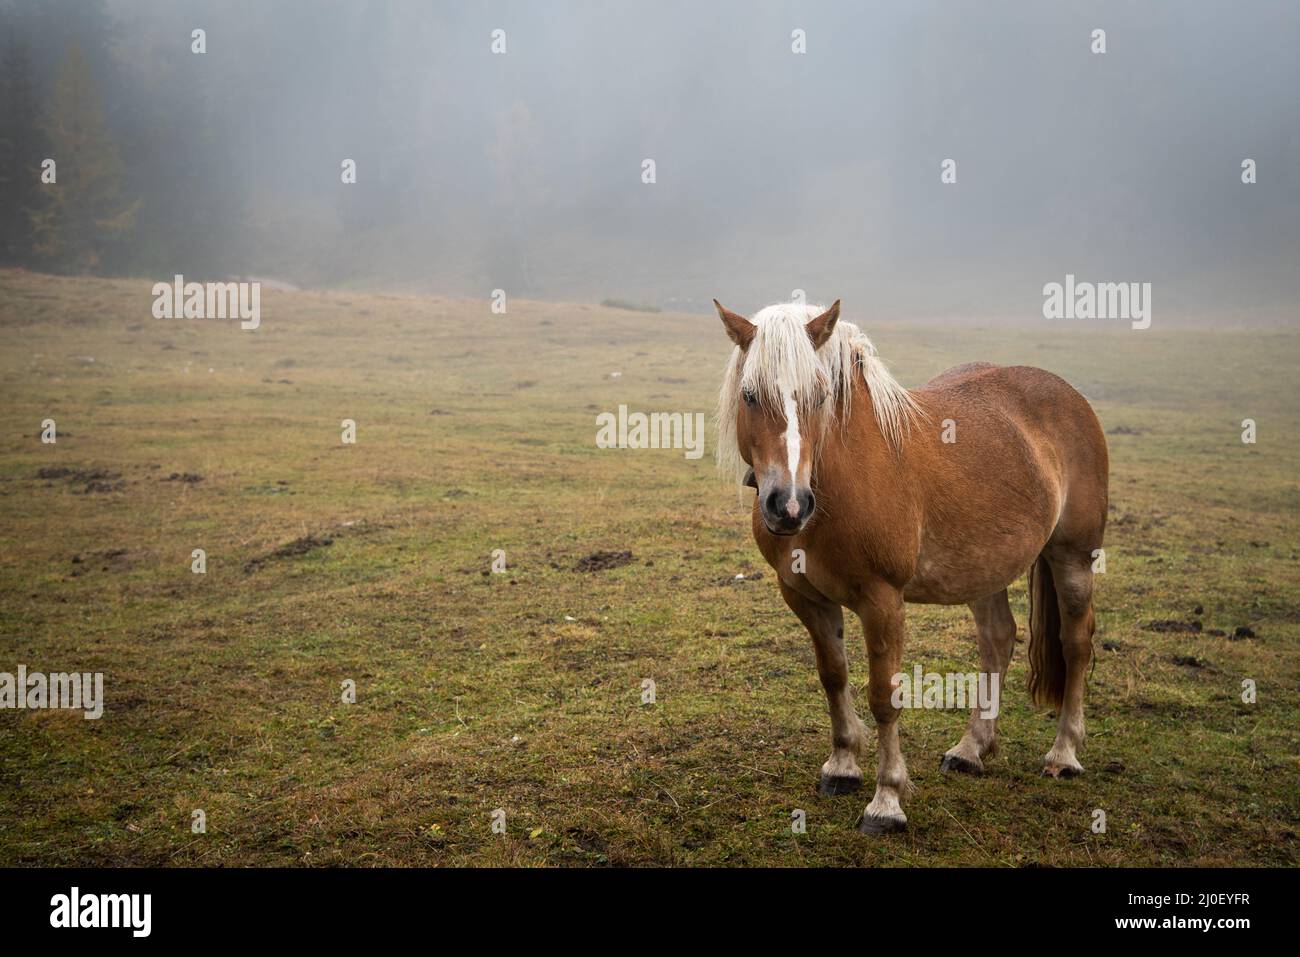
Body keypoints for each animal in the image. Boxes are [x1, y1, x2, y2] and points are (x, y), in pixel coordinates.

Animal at [713, 298, 1108, 834]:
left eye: (819, 395)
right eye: (751, 395)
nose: (788, 506)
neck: (839, 480)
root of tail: (1071, 397)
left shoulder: (882, 601)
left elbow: (885, 697)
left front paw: (886, 801)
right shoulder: (805, 597)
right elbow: (833, 676)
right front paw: (842, 766)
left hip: (1073, 557)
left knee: (1076, 643)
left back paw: (1064, 753)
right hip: (984, 567)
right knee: (998, 639)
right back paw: (970, 749)